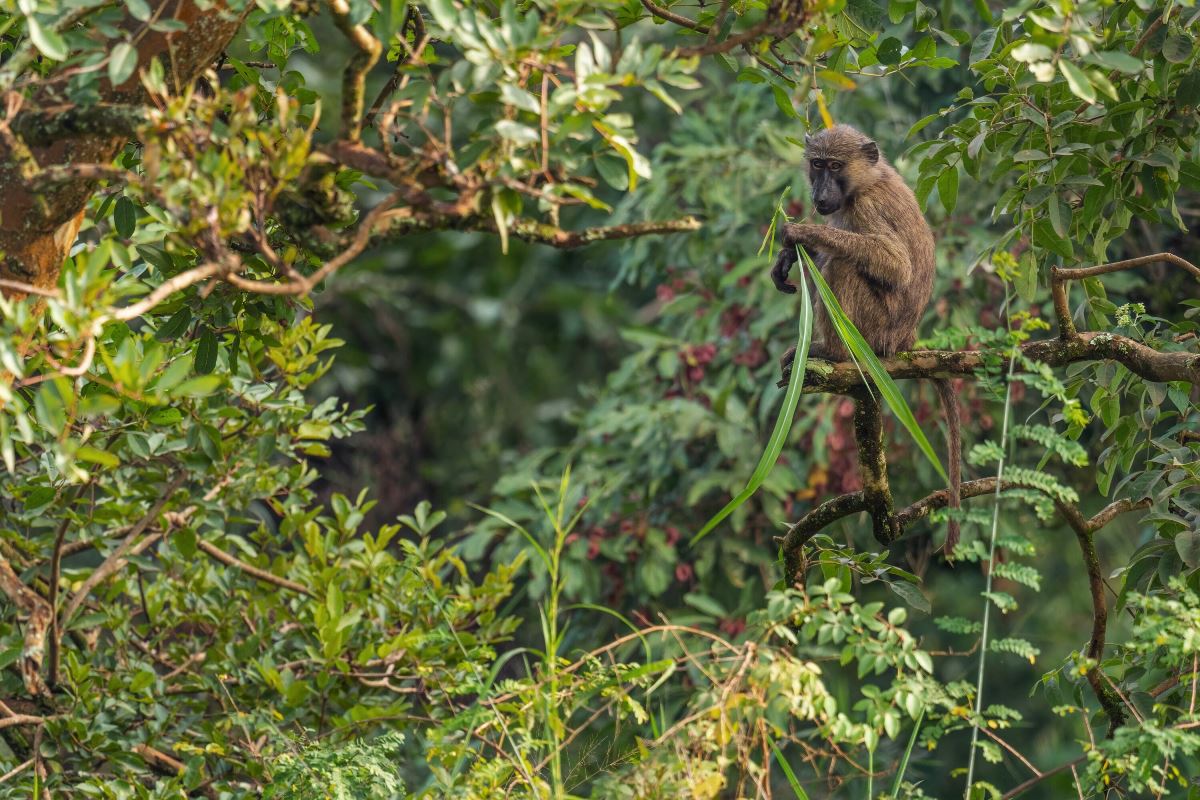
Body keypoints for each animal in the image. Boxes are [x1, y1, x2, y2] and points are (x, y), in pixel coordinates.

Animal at [770, 124, 962, 553]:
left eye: (835, 167)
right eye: (817, 164)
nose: (820, 195)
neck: (864, 183)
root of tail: (905, 339)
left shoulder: (866, 207)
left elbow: (894, 264)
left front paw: (799, 232)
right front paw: (787, 257)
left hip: (875, 328)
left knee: (839, 262)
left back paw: (833, 353)